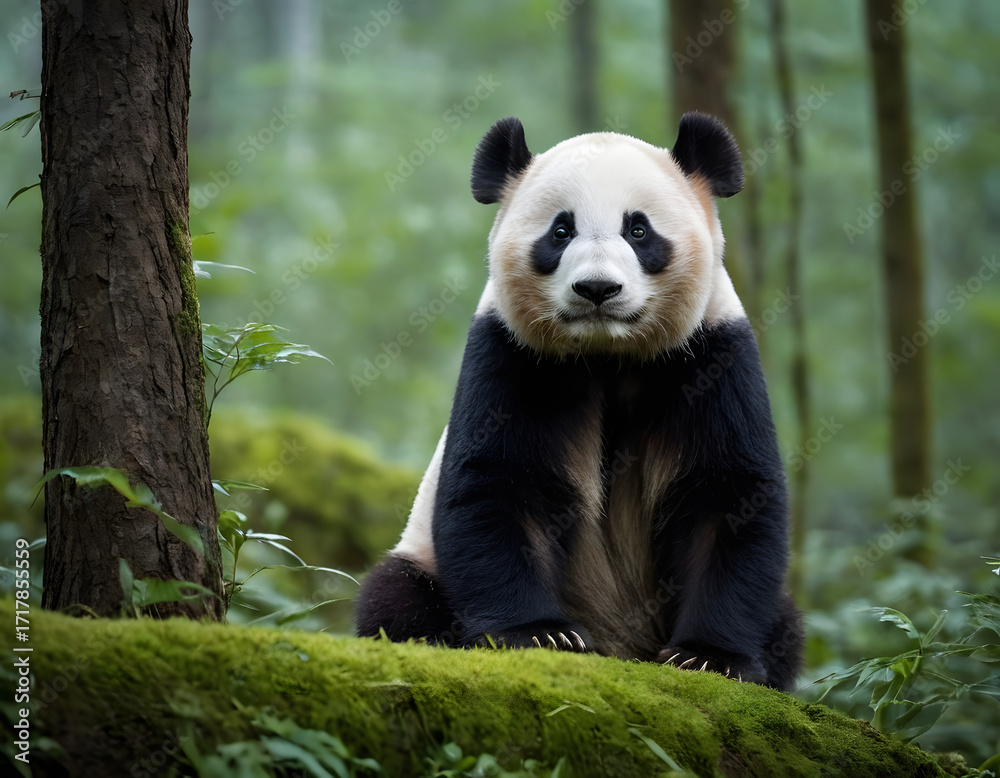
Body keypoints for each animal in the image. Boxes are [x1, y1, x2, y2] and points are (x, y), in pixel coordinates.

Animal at [356, 113, 802, 691]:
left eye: (638, 230)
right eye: (560, 231)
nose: (597, 289)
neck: (607, 353)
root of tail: (624, 648)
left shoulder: (713, 353)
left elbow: (726, 494)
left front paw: (709, 657)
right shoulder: (512, 355)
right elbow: (502, 483)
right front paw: (539, 635)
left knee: (786, 624)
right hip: (422, 557)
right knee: (395, 597)